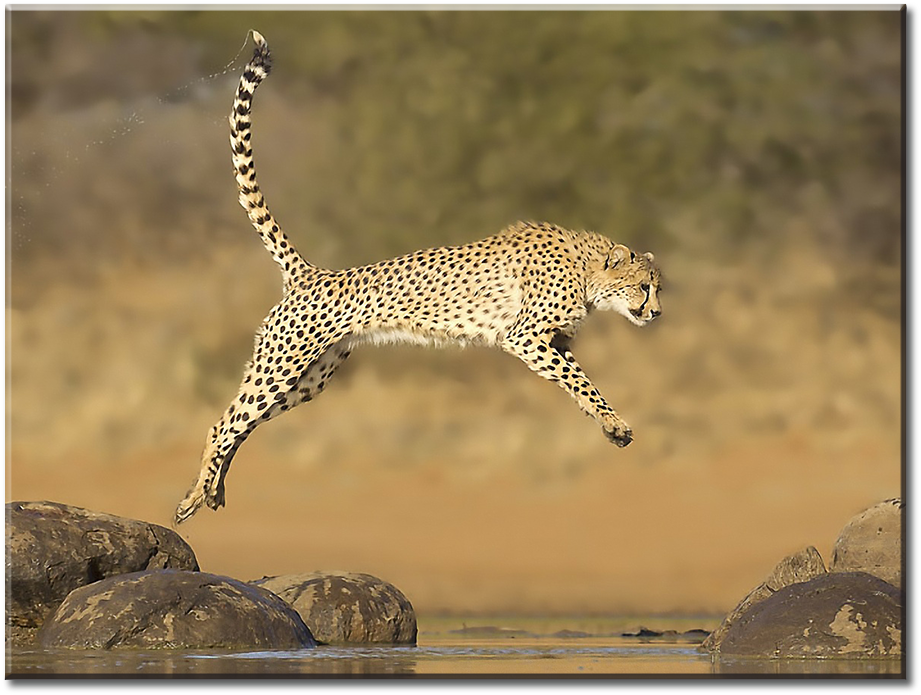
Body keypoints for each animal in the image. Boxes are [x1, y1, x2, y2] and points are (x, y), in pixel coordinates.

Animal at [175, 31, 662, 524]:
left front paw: (609, 426)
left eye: (658, 288)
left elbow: (578, 380)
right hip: (282, 363)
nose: (656, 313)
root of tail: (312, 273)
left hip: (309, 379)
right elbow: (580, 380)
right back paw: (195, 495)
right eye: (644, 287)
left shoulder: (553, 342)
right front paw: (616, 423)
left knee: (241, 425)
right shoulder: (523, 337)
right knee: (223, 424)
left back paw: (211, 492)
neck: (587, 269)